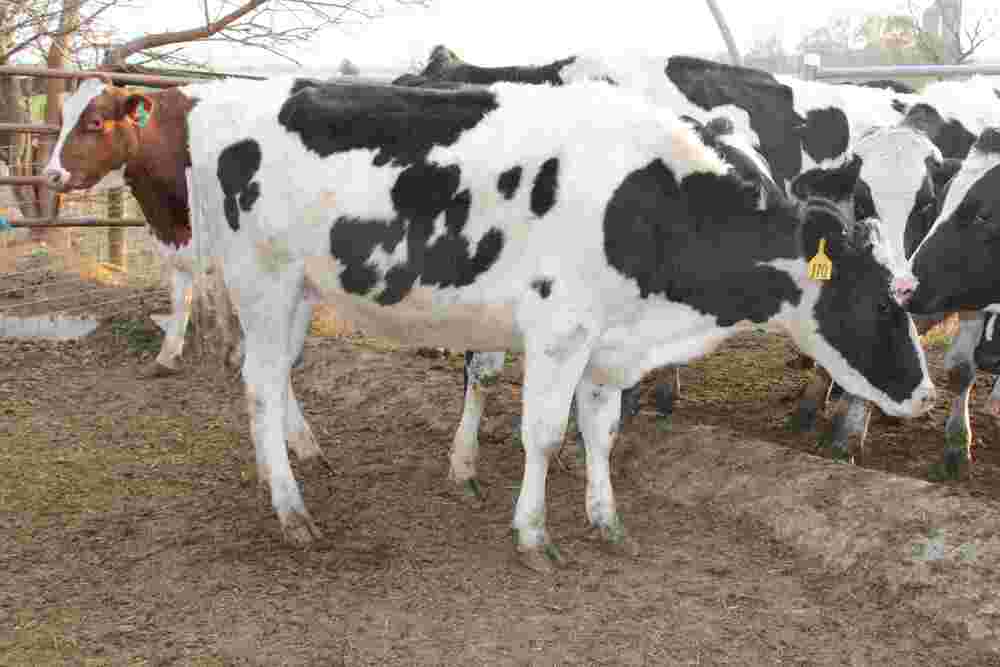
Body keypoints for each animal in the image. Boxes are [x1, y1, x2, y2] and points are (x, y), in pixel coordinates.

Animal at [180, 76, 933, 569]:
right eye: (880, 302)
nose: (925, 396)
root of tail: (217, 99)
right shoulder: (560, 329)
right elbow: (542, 434)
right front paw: (535, 535)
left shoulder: (607, 340)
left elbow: (601, 431)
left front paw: (607, 519)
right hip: (263, 281)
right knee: (257, 386)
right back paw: (290, 509)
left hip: (299, 291)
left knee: (278, 376)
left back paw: (288, 466)